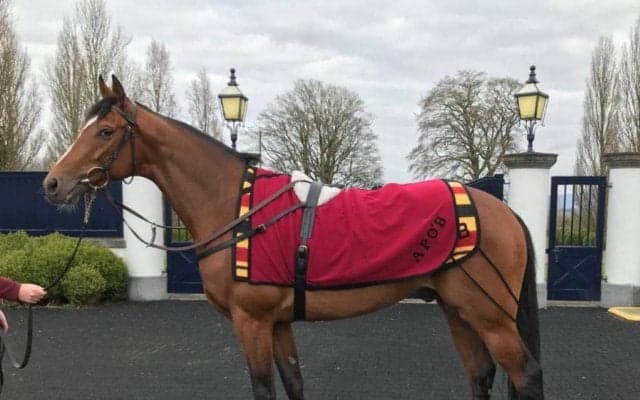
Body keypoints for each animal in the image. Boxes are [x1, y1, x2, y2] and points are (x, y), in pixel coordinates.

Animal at [43, 75, 543, 399]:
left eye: (105, 131)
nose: (52, 183)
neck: (236, 207)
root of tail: (503, 210)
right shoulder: (279, 323)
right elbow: (294, 382)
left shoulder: (252, 322)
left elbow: (264, 389)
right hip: (458, 309)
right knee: (481, 374)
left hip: (490, 315)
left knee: (526, 375)